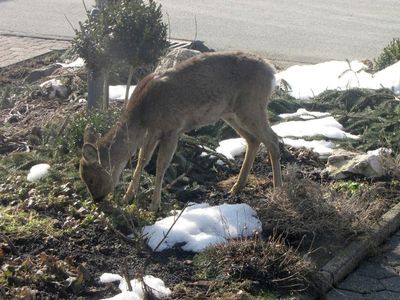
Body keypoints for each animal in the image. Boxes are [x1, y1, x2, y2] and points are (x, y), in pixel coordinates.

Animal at [79, 51, 282, 211]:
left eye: (90, 178)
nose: (97, 200)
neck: (143, 114)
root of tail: (272, 71)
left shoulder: (172, 128)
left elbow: (160, 165)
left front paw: (154, 206)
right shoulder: (153, 131)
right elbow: (141, 161)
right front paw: (127, 198)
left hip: (252, 105)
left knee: (273, 139)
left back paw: (277, 189)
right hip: (231, 112)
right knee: (253, 140)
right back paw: (236, 188)